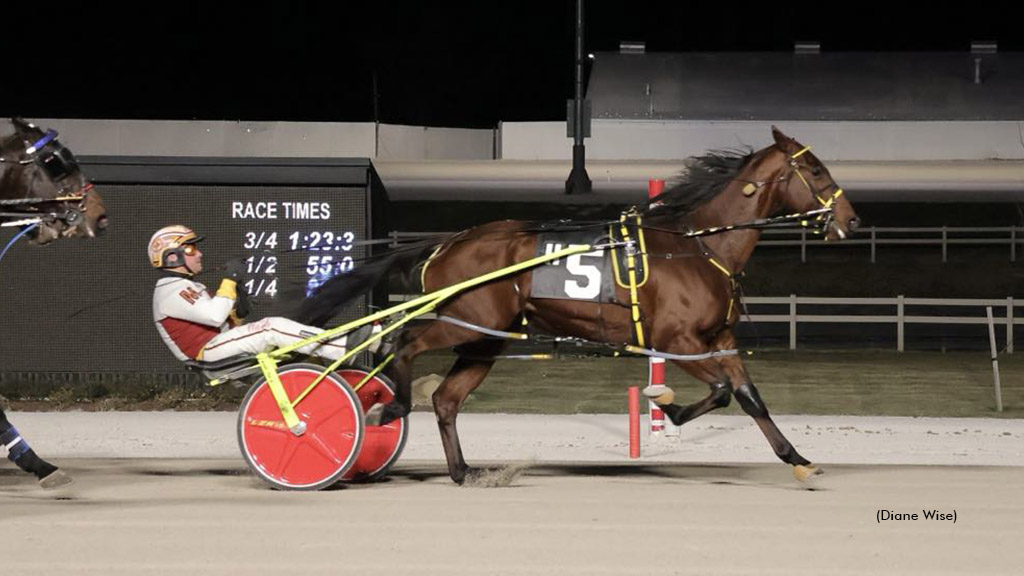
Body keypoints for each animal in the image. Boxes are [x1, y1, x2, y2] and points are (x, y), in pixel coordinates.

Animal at [299, 124, 860, 479]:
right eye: (815, 169)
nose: (851, 219)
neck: (699, 245)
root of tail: (450, 241)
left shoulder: (717, 337)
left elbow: (746, 395)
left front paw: (797, 459)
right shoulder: (675, 339)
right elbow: (720, 390)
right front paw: (667, 403)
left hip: (485, 339)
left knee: (446, 399)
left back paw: (462, 471)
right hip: (466, 321)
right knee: (403, 341)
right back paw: (388, 404)